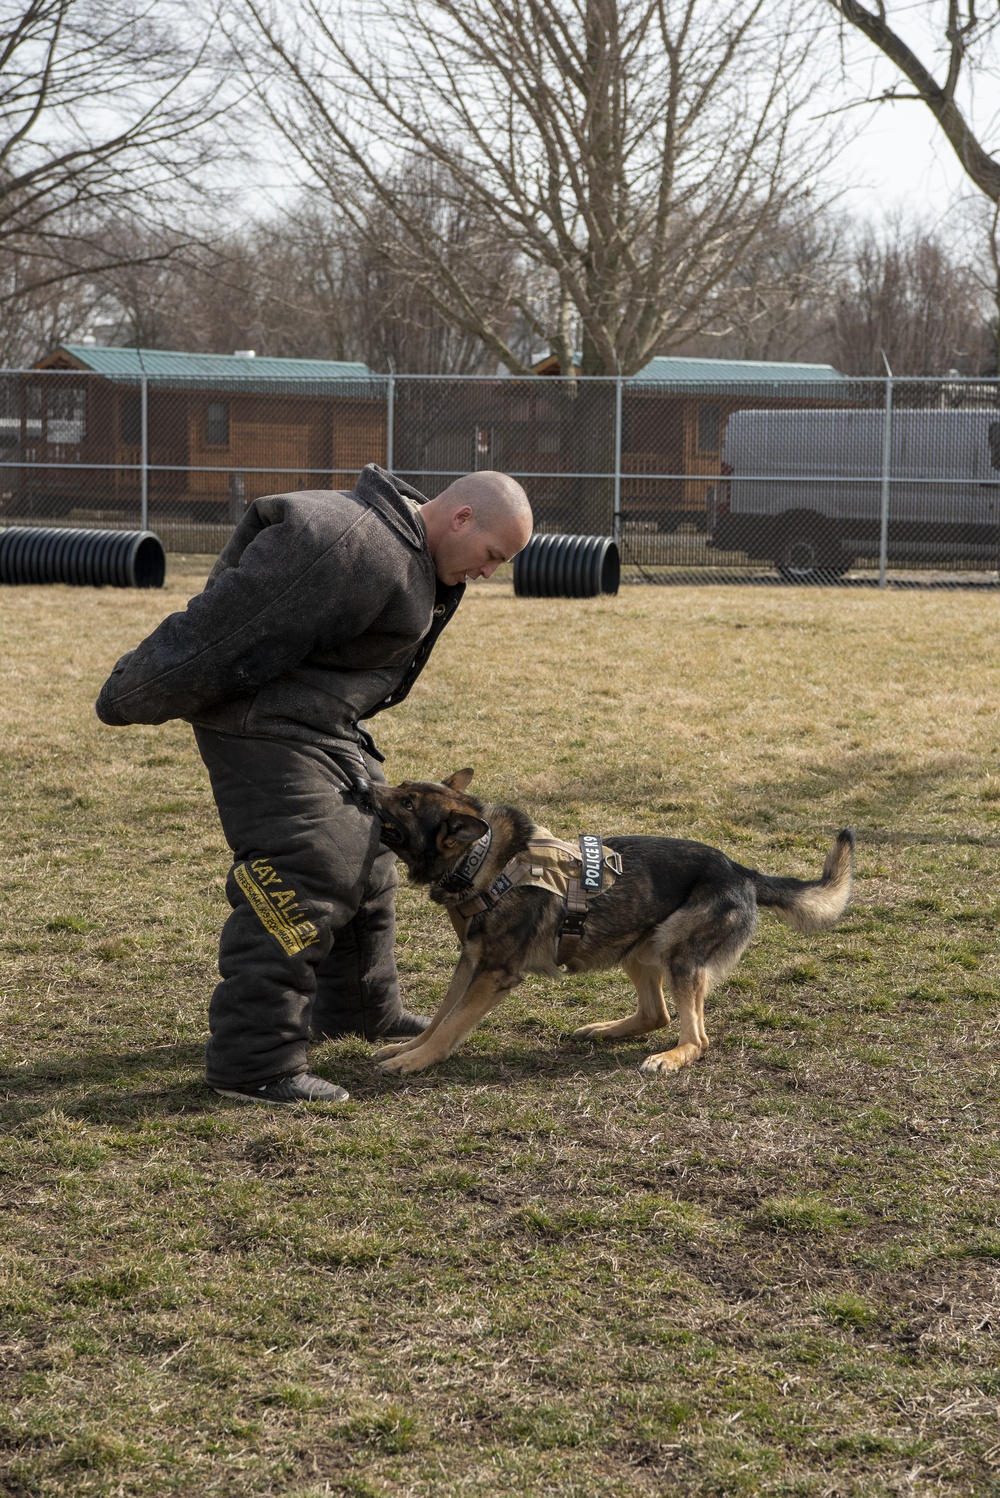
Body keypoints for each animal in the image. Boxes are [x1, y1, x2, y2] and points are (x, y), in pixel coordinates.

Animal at [371, 772, 856, 1078]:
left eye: (407, 803)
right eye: (403, 787)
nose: (365, 784)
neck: (483, 856)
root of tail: (741, 870)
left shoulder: (493, 974)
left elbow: (452, 1024)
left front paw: (416, 1061)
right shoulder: (470, 962)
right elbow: (439, 1017)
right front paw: (408, 1049)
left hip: (677, 953)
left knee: (697, 1037)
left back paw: (672, 1057)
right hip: (636, 948)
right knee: (656, 1014)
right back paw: (605, 1030)